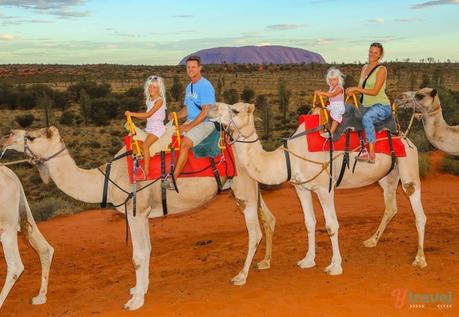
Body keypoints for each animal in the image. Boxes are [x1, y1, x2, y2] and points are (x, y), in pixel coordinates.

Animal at [210, 102, 430, 274]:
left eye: (235, 110)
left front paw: (335, 266)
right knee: (391, 206)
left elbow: (331, 225)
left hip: (408, 166)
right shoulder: (302, 188)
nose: (210, 109)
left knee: (418, 211)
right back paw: (371, 241)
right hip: (388, 176)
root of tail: (406, 137)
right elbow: (309, 222)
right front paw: (308, 260)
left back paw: (419, 259)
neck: (289, 157)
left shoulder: (325, 188)